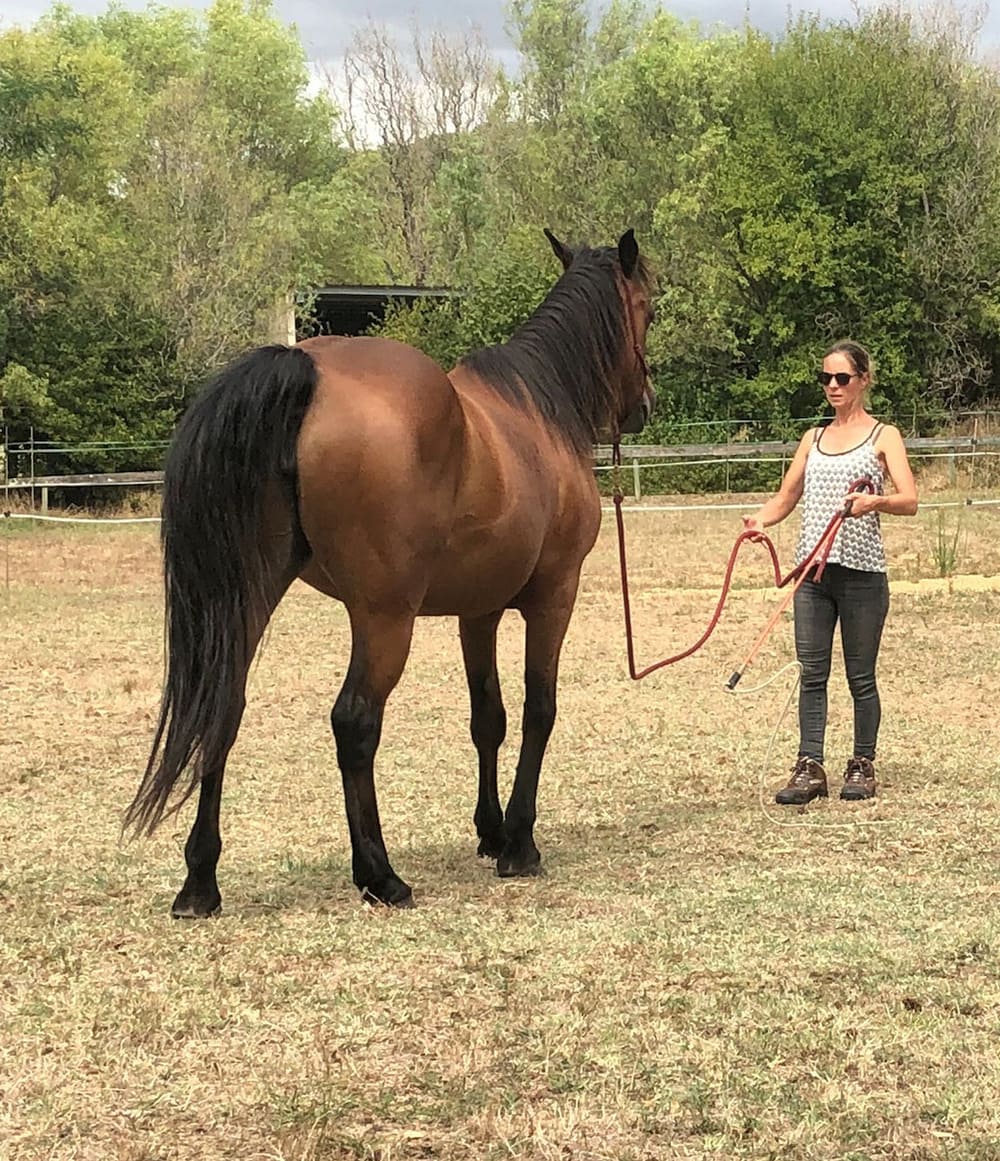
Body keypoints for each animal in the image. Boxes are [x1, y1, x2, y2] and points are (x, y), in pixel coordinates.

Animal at [124, 226, 655, 914]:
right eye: (648, 308)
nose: (644, 404)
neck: (541, 412)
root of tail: (305, 370)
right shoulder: (553, 598)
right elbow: (539, 709)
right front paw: (519, 844)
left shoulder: (477, 611)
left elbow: (489, 717)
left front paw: (490, 831)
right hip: (384, 617)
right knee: (355, 721)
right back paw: (379, 874)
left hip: (249, 599)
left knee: (224, 709)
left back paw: (200, 882)